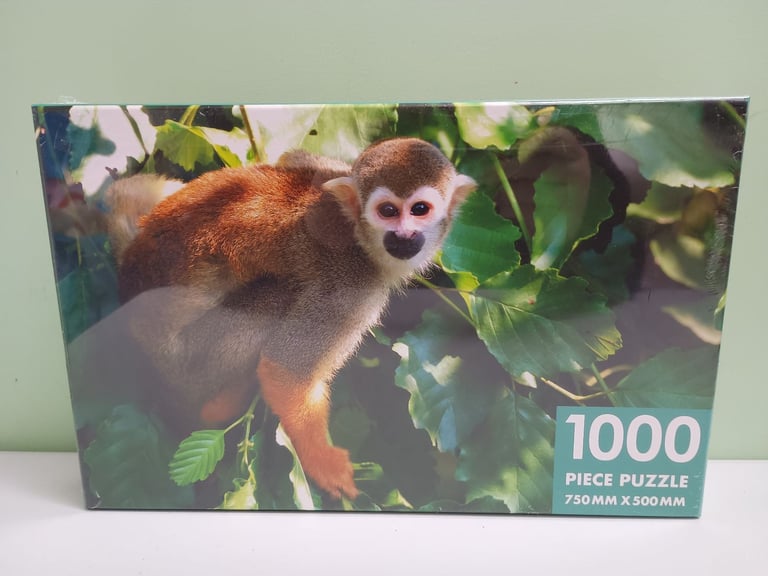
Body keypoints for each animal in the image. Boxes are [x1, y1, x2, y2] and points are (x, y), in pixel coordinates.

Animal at [106, 138, 476, 500]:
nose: (403, 236)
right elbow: (286, 371)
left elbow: (292, 158)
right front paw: (323, 461)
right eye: (387, 211)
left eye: (419, 210)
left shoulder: (331, 171)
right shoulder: (350, 286)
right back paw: (217, 407)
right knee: (277, 297)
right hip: (186, 362)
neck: (357, 233)